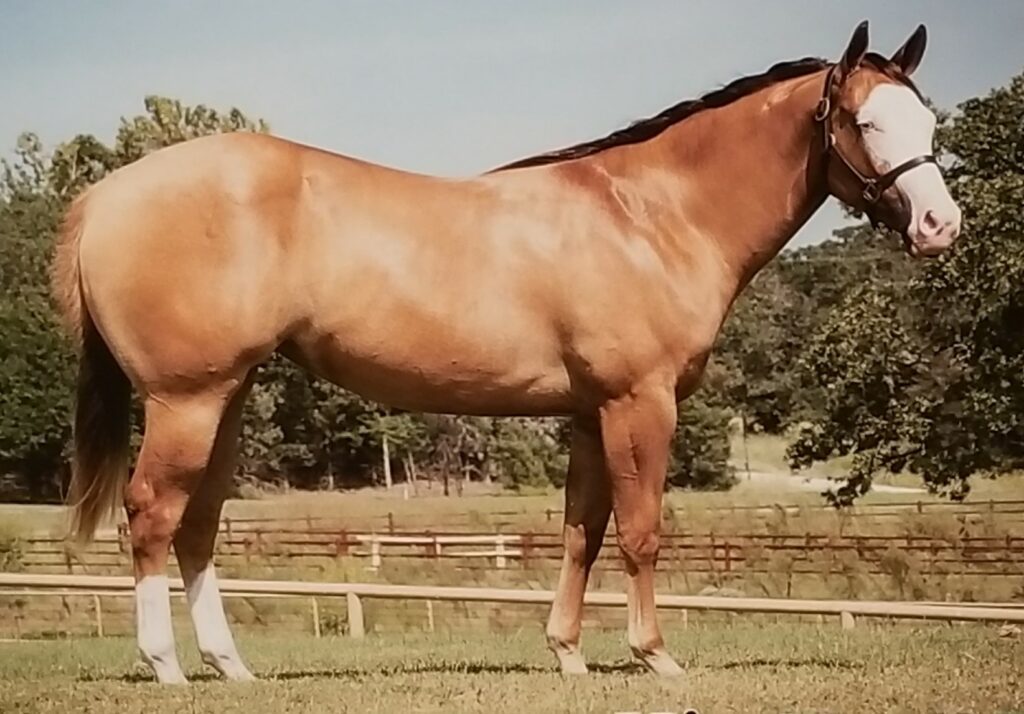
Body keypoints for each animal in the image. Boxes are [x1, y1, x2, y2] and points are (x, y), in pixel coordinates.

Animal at [52, 20, 961, 684]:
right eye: (866, 121)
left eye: (930, 121)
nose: (939, 226)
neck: (650, 215)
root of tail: (106, 197)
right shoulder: (640, 403)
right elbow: (641, 532)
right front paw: (656, 658)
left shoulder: (591, 414)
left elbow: (581, 534)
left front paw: (568, 655)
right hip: (188, 398)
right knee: (152, 514)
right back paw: (167, 667)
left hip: (228, 397)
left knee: (199, 523)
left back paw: (231, 666)